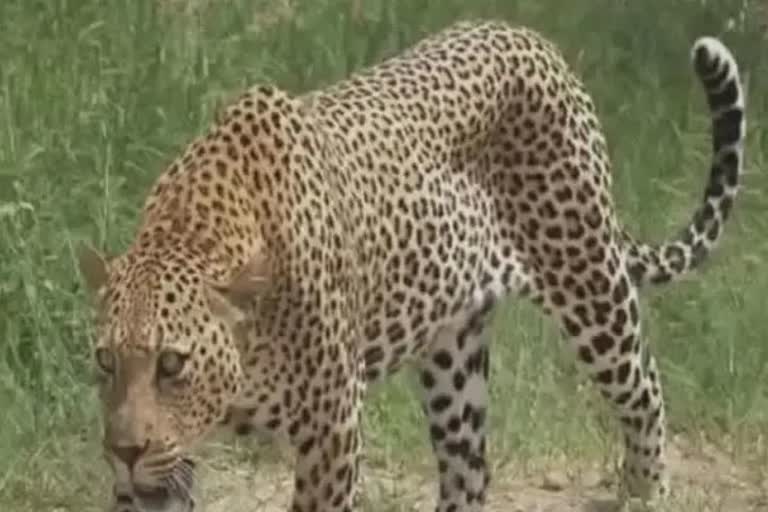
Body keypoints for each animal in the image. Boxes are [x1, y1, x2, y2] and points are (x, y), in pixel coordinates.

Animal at [78, 19, 744, 512]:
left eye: (172, 364)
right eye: (106, 361)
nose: (123, 451)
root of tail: (528, 35)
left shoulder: (332, 426)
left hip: (588, 279)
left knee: (645, 390)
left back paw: (644, 491)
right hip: (454, 357)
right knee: (470, 470)